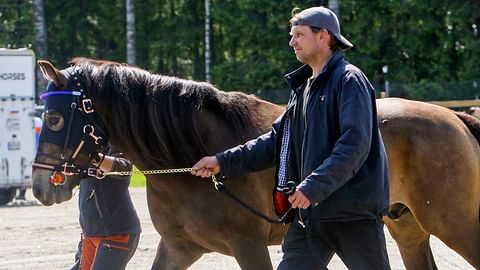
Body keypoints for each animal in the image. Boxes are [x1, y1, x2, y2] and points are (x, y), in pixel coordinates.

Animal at [31, 59, 478, 270]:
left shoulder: (248, 247)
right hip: (407, 228)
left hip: (455, 224)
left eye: (53, 118)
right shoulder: (179, 247)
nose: (41, 186)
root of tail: (454, 117)